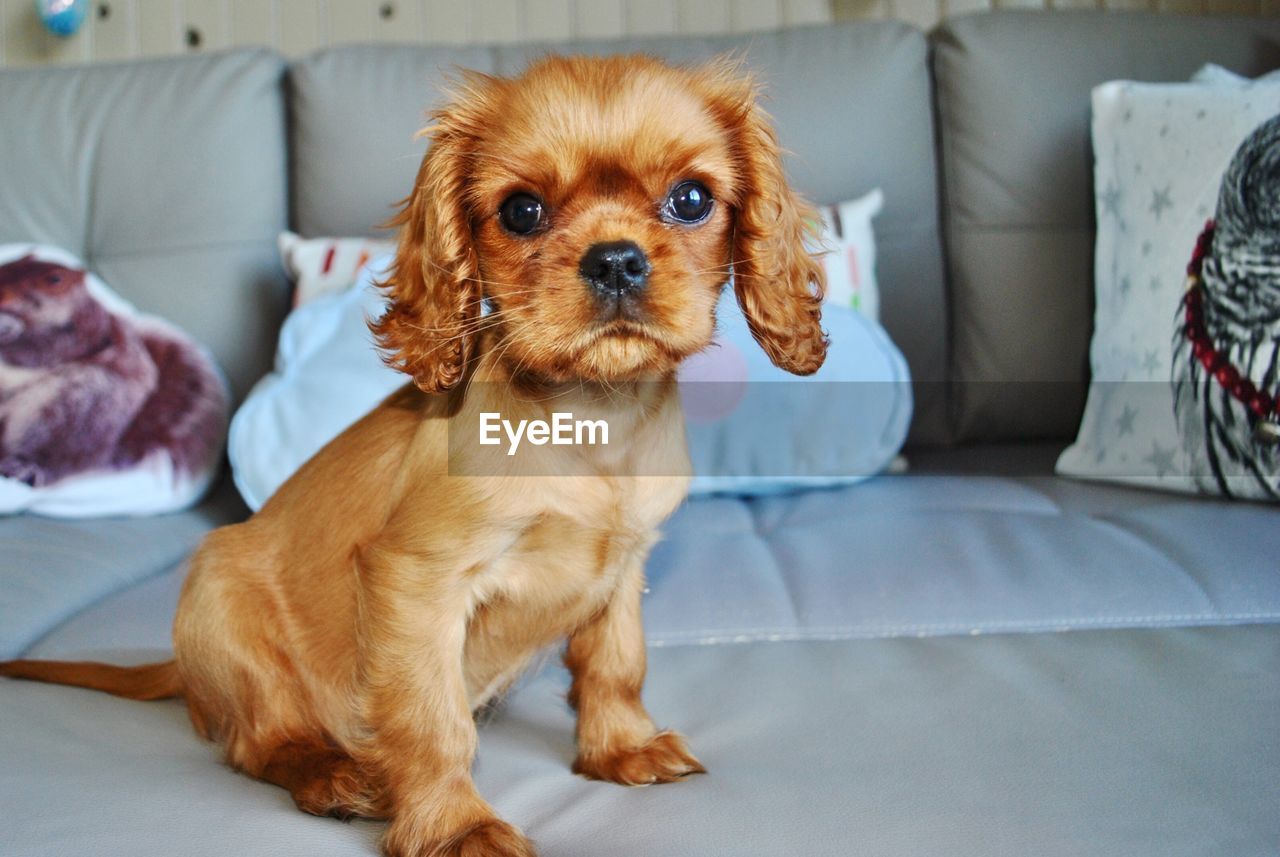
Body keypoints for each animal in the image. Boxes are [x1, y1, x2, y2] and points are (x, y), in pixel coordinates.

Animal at [2, 55, 829, 857]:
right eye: (521, 211)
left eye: (691, 200)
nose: (616, 261)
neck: (592, 420)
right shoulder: (418, 580)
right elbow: (431, 720)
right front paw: (453, 824)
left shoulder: (625, 566)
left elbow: (615, 662)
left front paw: (621, 747)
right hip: (221, 600)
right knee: (258, 740)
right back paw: (330, 774)